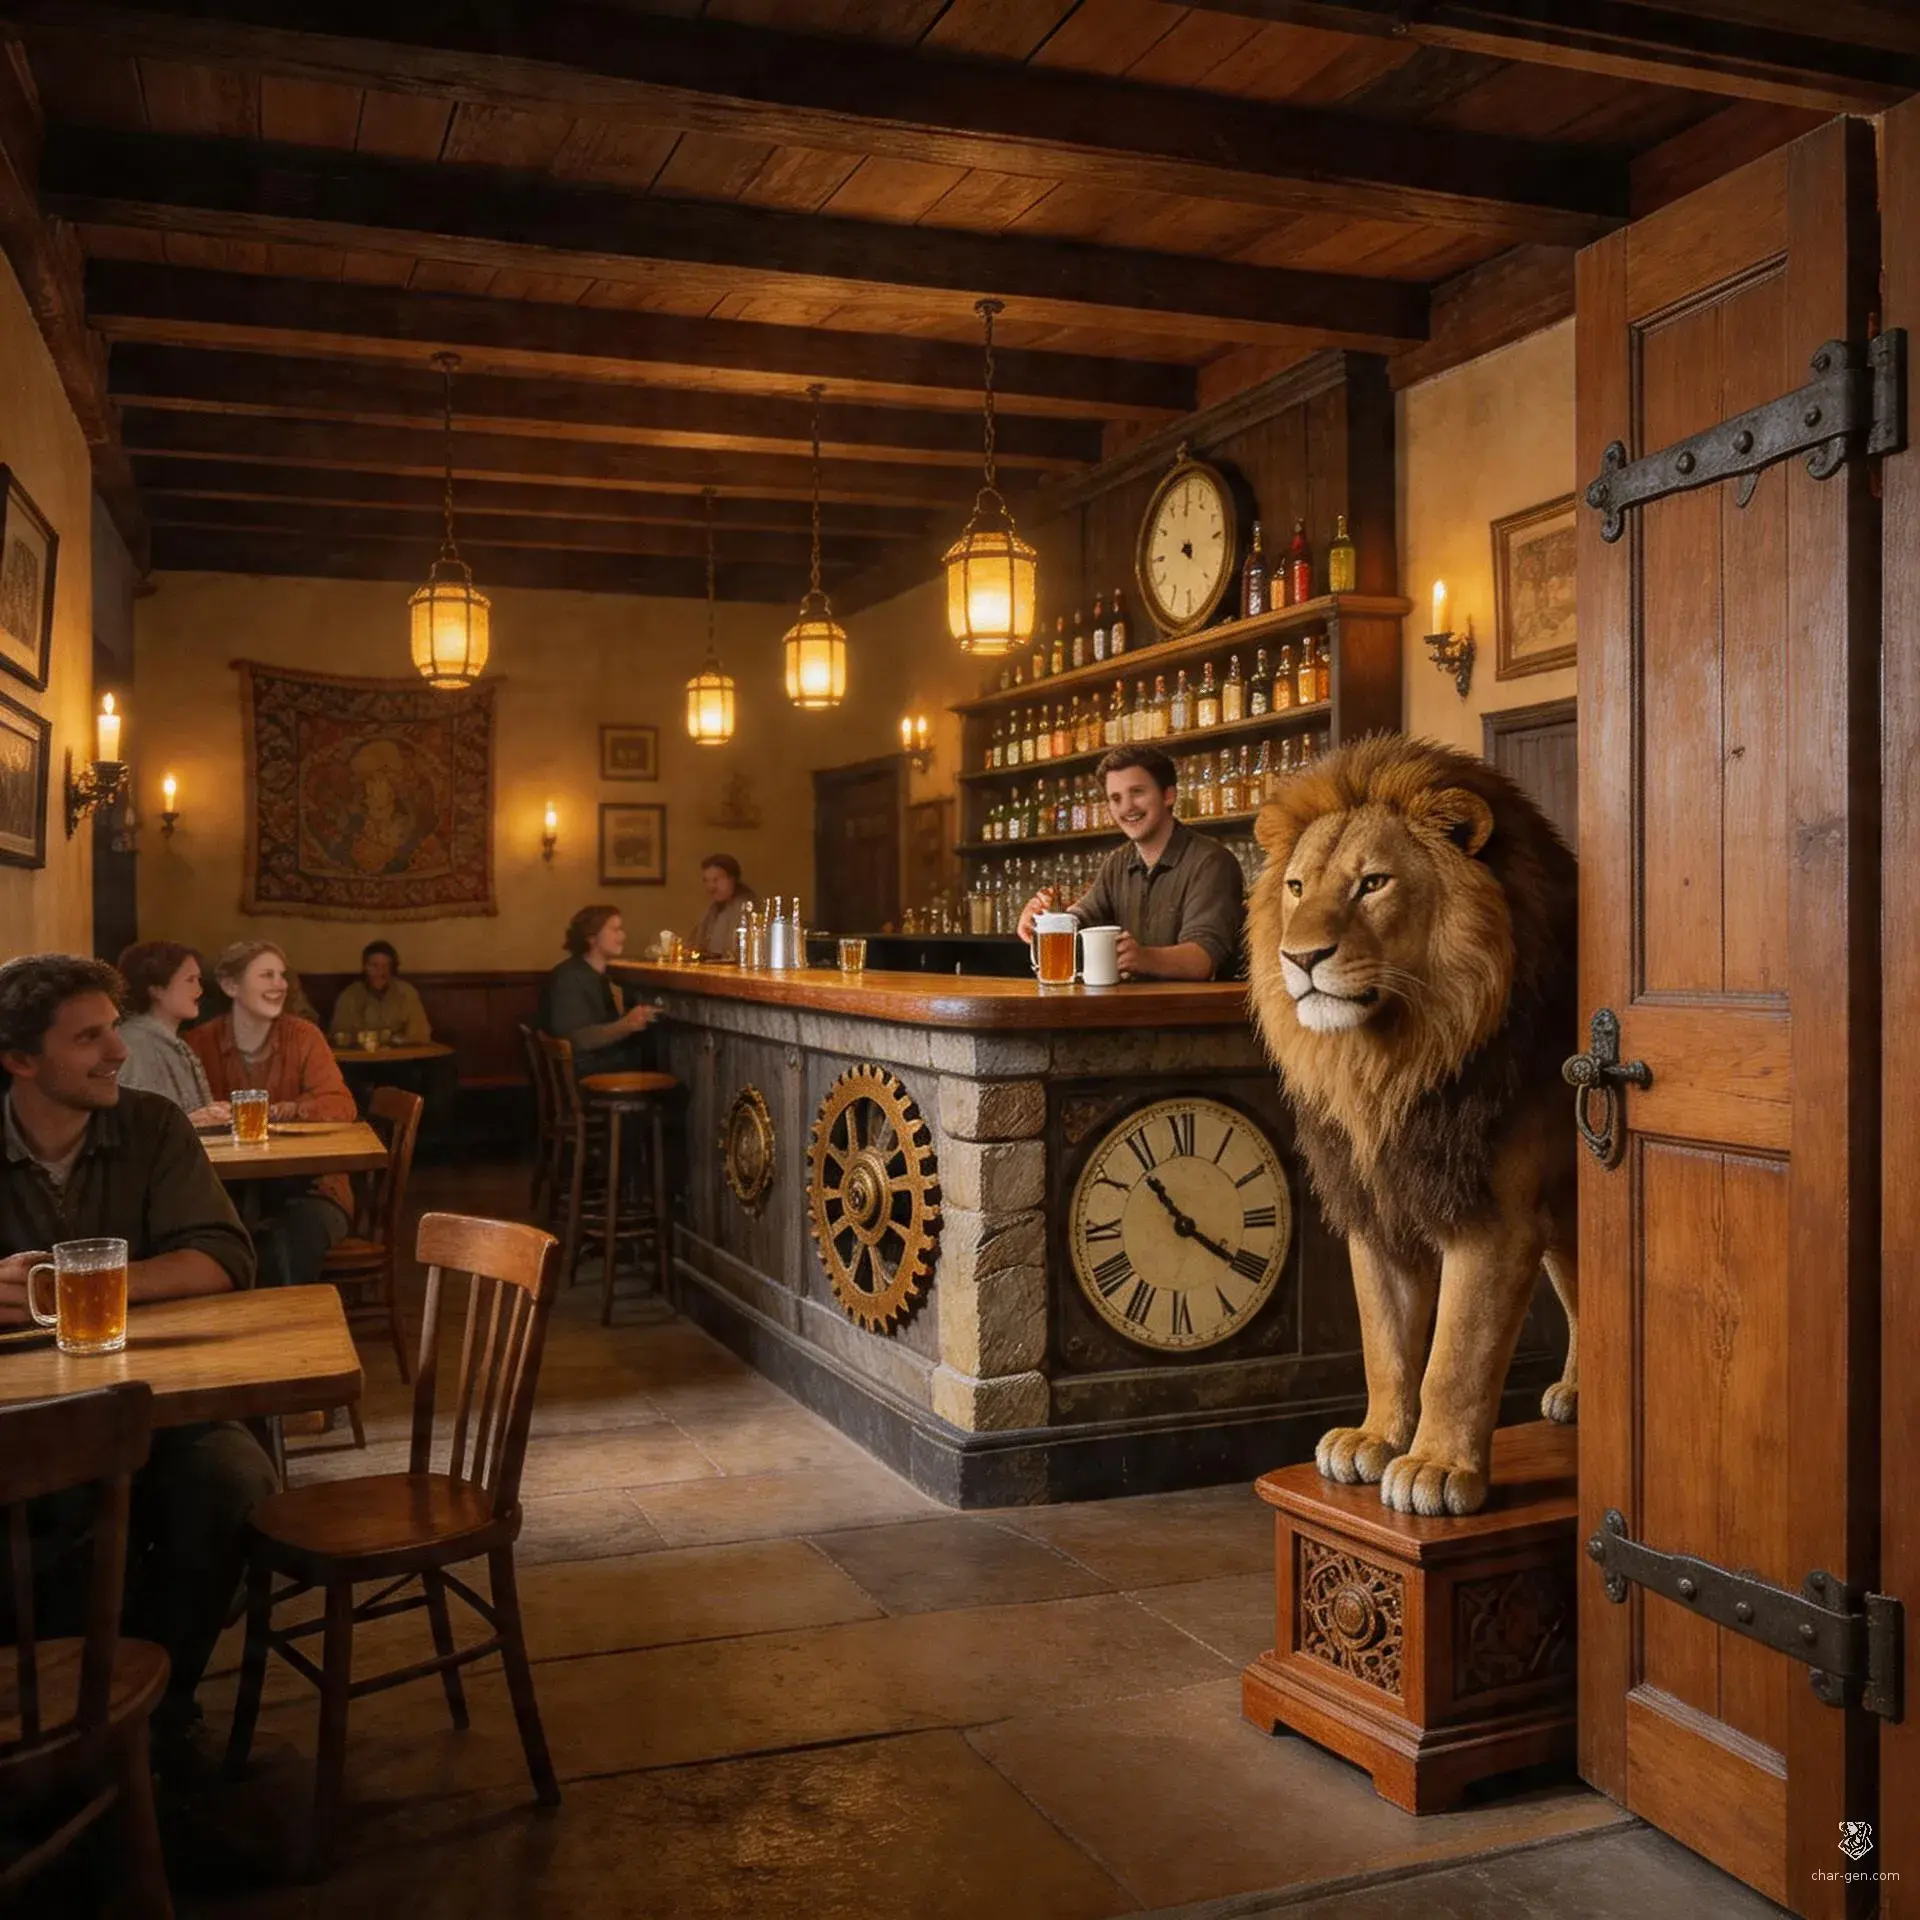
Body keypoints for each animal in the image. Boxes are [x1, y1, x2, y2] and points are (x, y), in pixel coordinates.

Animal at [1246, 733, 1578, 1518]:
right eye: (1296, 888)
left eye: (1372, 884)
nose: (1300, 957)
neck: (1391, 1065)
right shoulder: (1376, 1202)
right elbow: (1386, 1339)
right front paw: (1374, 1439)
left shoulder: (1498, 1217)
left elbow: (1455, 1355)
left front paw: (1434, 1466)